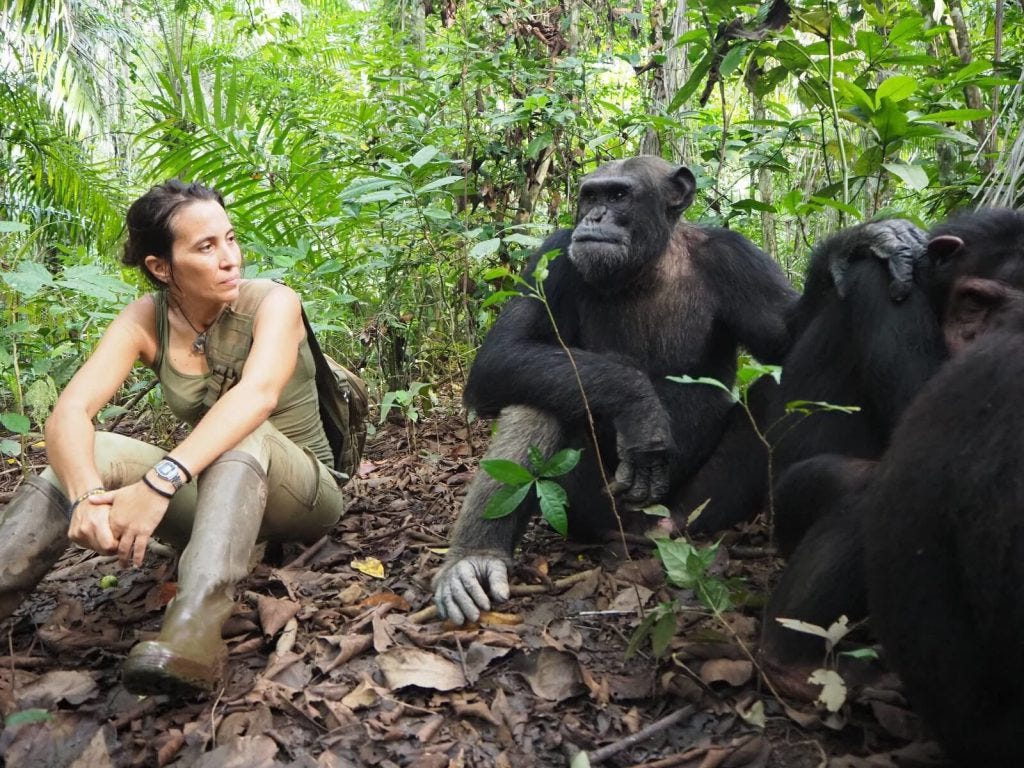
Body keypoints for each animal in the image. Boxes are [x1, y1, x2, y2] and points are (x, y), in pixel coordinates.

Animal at [432, 156, 798, 626]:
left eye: (619, 195)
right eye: (590, 196)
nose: (594, 217)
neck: (648, 265)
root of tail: (645, 531)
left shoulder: (741, 260)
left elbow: (794, 340)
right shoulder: (554, 254)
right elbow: (503, 352)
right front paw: (640, 410)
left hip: (702, 508)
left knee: (777, 386)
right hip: (588, 512)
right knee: (539, 399)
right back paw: (474, 559)